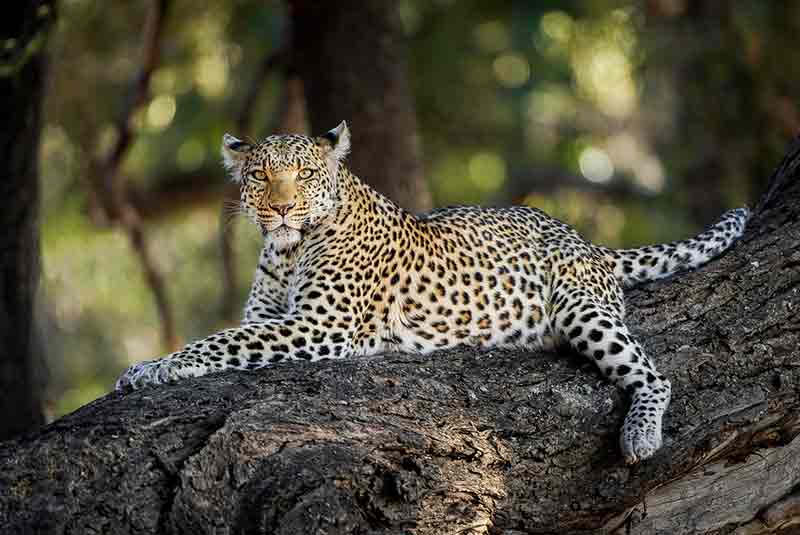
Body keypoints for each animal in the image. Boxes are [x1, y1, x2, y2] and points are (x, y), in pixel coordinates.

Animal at [116, 121, 750, 464]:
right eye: (259, 176)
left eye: (304, 175)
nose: (281, 208)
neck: (288, 249)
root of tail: (585, 239)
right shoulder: (269, 317)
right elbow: (226, 336)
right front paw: (150, 365)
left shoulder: (322, 327)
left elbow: (217, 343)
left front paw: (153, 369)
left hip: (581, 305)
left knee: (654, 375)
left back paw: (640, 434)